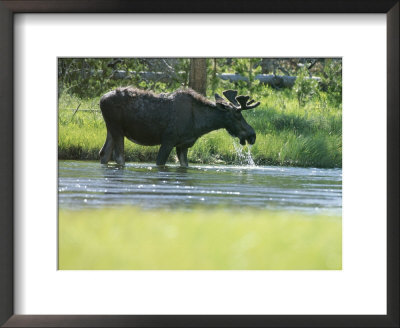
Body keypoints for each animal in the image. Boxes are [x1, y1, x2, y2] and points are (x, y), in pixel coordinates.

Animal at [99, 87, 260, 167]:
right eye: (237, 115)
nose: (252, 135)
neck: (200, 124)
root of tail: (101, 100)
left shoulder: (183, 145)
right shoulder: (168, 140)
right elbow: (160, 162)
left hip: (111, 129)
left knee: (104, 153)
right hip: (117, 128)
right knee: (119, 156)